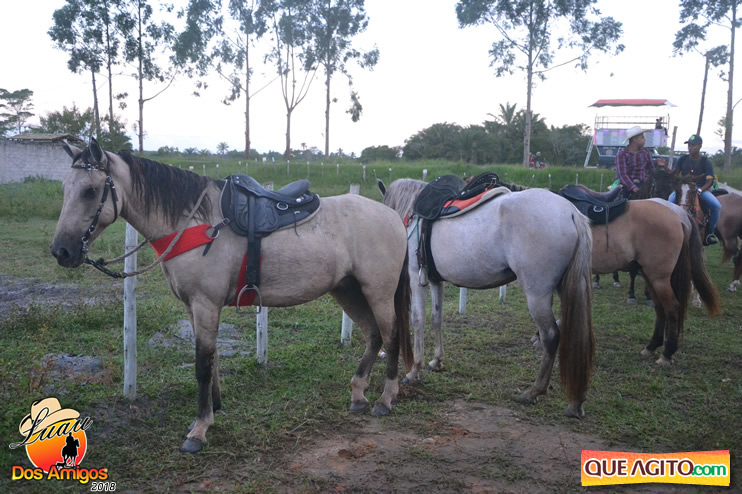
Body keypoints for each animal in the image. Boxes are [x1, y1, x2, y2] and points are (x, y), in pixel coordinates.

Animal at [51, 140, 413, 453]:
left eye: (90, 190)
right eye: (65, 189)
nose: (61, 251)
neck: (195, 223)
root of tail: (392, 216)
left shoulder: (205, 304)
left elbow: (201, 364)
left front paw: (198, 430)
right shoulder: (194, 308)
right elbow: (210, 360)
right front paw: (213, 409)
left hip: (378, 292)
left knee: (391, 335)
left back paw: (385, 399)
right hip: (348, 290)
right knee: (374, 335)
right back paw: (358, 394)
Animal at [378, 177, 594, 418]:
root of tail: (571, 212)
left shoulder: (417, 275)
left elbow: (418, 319)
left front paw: (415, 369)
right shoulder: (435, 279)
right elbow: (436, 317)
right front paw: (436, 361)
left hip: (537, 295)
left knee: (550, 336)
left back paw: (534, 392)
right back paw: (577, 401)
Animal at [590, 199, 721, 364]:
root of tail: (679, 217)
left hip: (659, 280)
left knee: (672, 309)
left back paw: (667, 353)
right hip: (650, 278)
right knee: (660, 308)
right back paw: (652, 346)